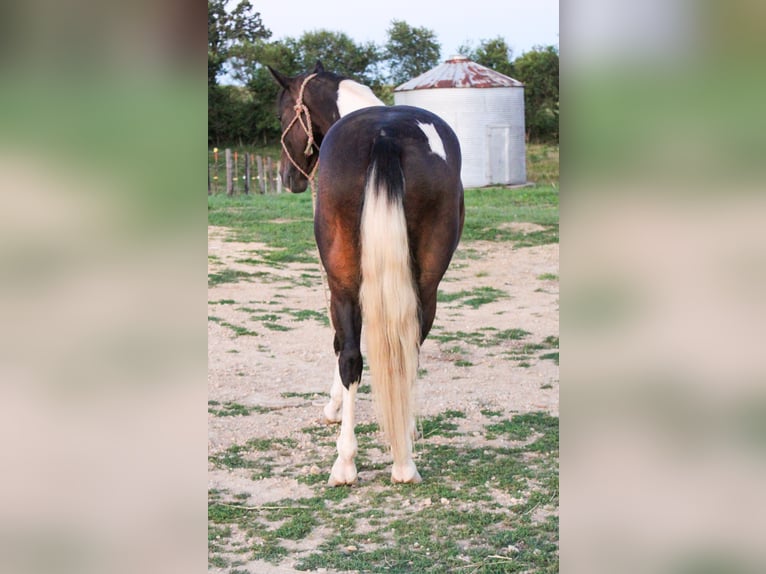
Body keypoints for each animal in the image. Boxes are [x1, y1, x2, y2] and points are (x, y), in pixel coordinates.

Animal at [272, 63, 468, 486]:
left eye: (282, 117)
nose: (288, 178)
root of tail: (385, 135)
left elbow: (338, 345)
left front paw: (333, 408)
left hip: (343, 283)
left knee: (350, 356)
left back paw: (346, 462)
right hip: (425, 287)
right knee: (407, 350)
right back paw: (404, 458)